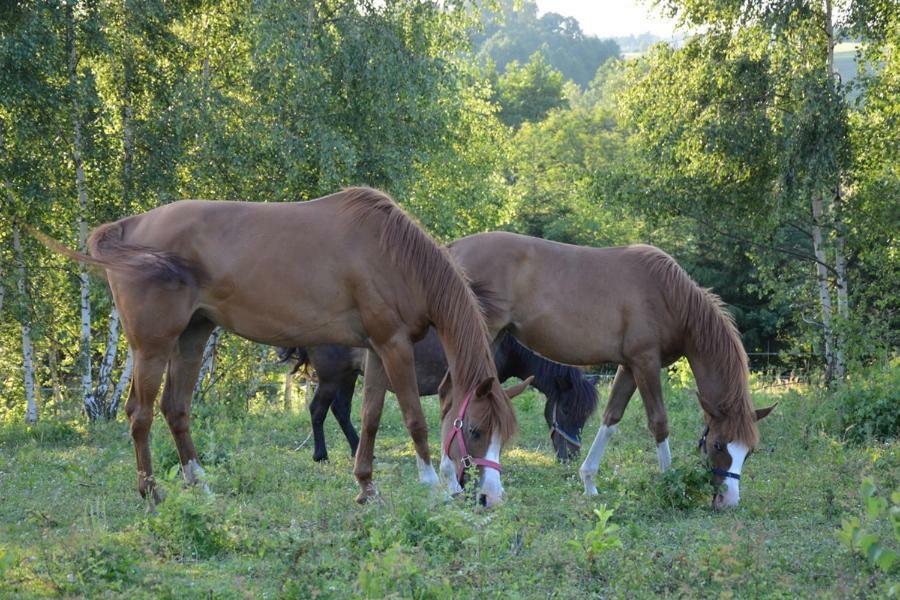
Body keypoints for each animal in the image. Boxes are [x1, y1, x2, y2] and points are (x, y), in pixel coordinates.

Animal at [274, 330, 596, 462]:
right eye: (565, 410)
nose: (571, 456)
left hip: (348, 375)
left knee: (340, 410)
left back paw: (358, 450)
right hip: (332, 377)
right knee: (318, 410)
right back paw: (321, 455)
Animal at [450, 232, 772, 508]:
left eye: (749, 451)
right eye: (718, 445)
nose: (729, 501)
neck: (669, 297)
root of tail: (454, 248)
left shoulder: (629, 366)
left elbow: (611, 417)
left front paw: (589, 482)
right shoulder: (645, 362)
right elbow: (659, 422)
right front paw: (670, 485)